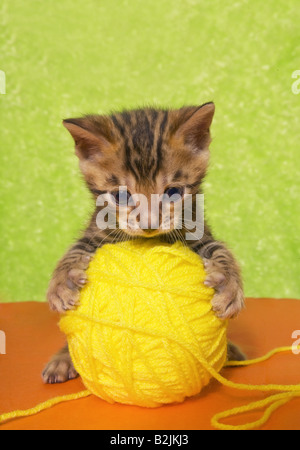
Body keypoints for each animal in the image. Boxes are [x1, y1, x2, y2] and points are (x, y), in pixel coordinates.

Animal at [42, 103, 245, 384]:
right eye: (121, 196)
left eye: (173, 193)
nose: (149, 224)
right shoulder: (96, 230)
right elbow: (76, 249)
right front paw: (63, 282)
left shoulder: (198, 230)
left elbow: (219, 249)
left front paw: (228, 283)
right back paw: (63, 357)